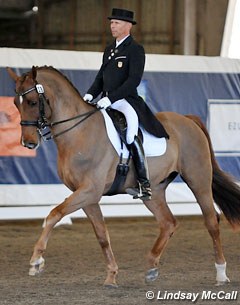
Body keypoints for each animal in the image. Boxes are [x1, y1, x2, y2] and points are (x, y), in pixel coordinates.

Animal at [6, 65, 240, 286]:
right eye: (16, 104)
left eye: (32, 102)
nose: (28, 143)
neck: (79, 132)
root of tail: (187, 119)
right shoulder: (87, 196)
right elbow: (102, 236)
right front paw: (111, 276)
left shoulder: (89, 191)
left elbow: (54, 214)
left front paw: (36, 261)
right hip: (154, 191)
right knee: (168, 223)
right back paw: (151, 268)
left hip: (198, 180)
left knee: (211, 221)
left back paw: (221, 273)